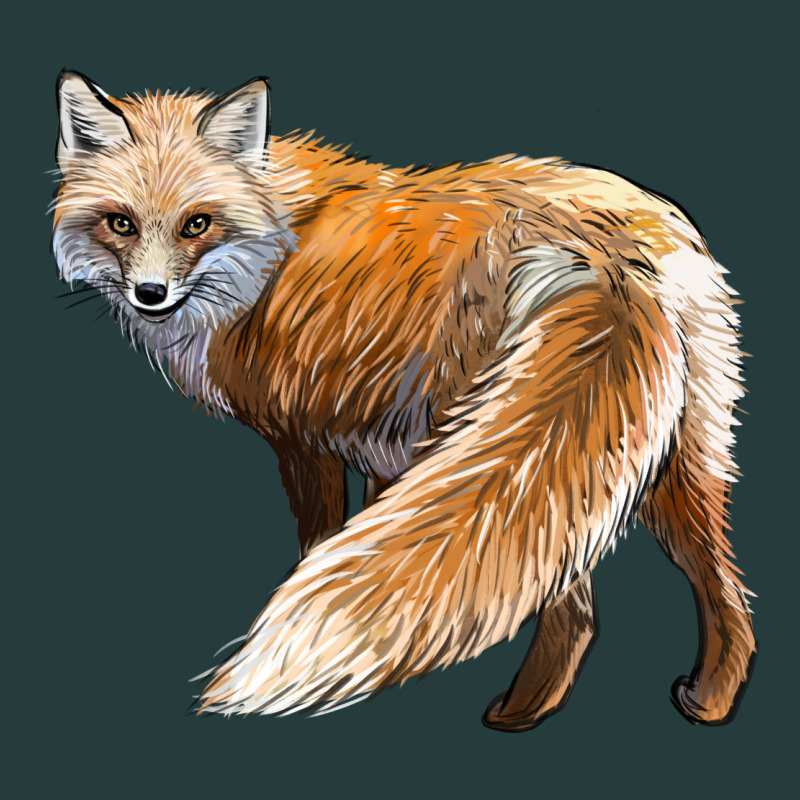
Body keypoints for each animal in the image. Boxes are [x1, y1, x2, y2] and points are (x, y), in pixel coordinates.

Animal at [52, 70, 756, 730]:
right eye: (121, 223)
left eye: (196, 223)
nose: (150, 294)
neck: (272, 247)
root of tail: (603, 254)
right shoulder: (381, 447)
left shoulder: (303, 439)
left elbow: (321, 546)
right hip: (664, 456)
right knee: (717, 587)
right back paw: (708, 701)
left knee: (572, 604)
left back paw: (517, 714)